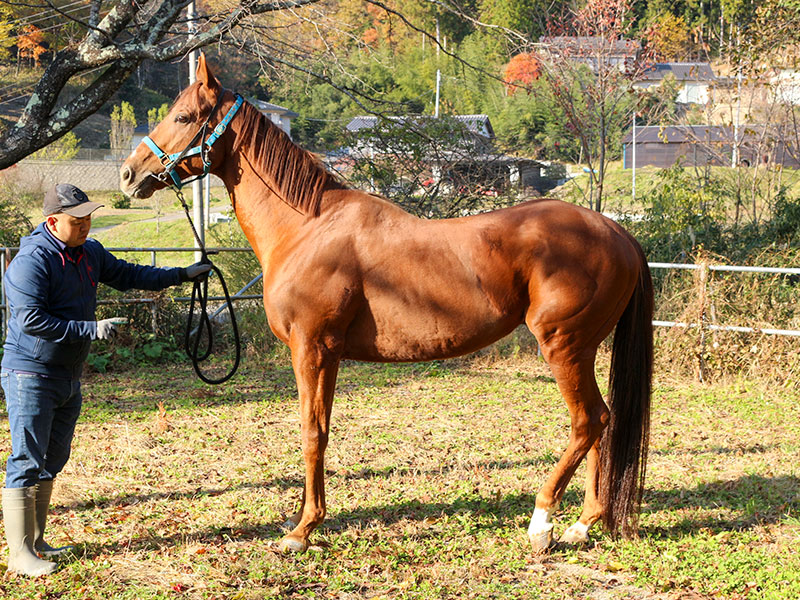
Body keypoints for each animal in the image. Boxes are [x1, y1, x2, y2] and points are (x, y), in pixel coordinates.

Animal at [122, 56, 652, 552]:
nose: (130, 173)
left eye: (184, 116)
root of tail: (618, 232)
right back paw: (583, 523)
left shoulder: (311, 348)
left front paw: (302, 530)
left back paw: (542, 523)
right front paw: (309, 519)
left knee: (588, 421)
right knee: (600, 423)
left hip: (562, 345)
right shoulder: (328, 354)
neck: (308, 227)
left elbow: (311, 432)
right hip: (584, 349)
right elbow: (322, 429)